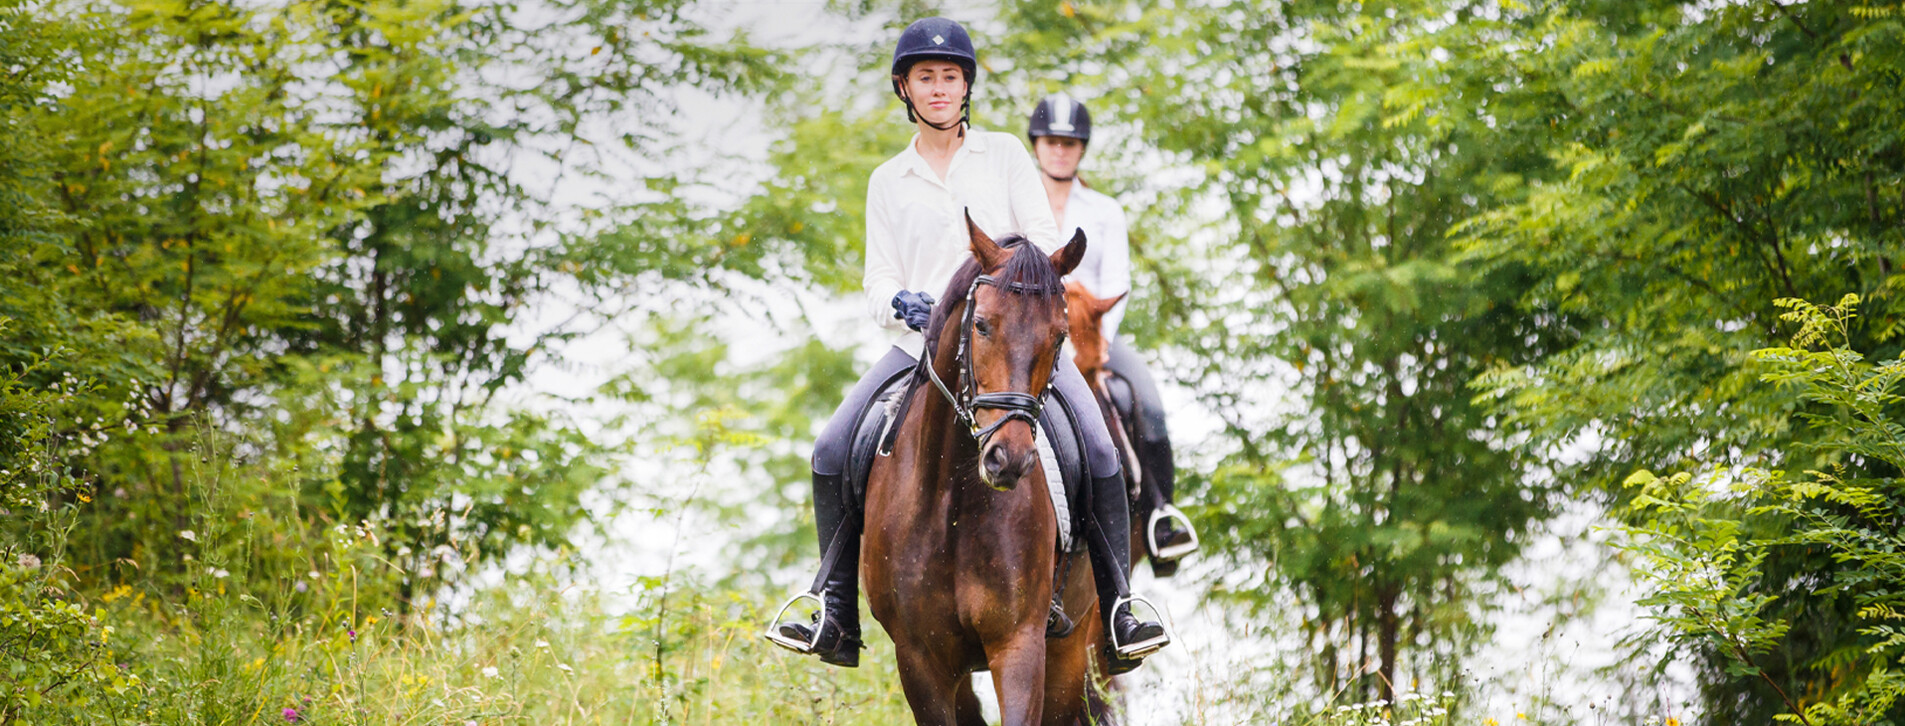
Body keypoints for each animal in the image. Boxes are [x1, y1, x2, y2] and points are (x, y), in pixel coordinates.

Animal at [868, 215, 1112, 724]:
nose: (1009, 458)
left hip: (1070, 647)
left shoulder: (1019, 644)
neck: (951, 501)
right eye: (980, 325)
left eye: (1058, 336)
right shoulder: (919, 659)